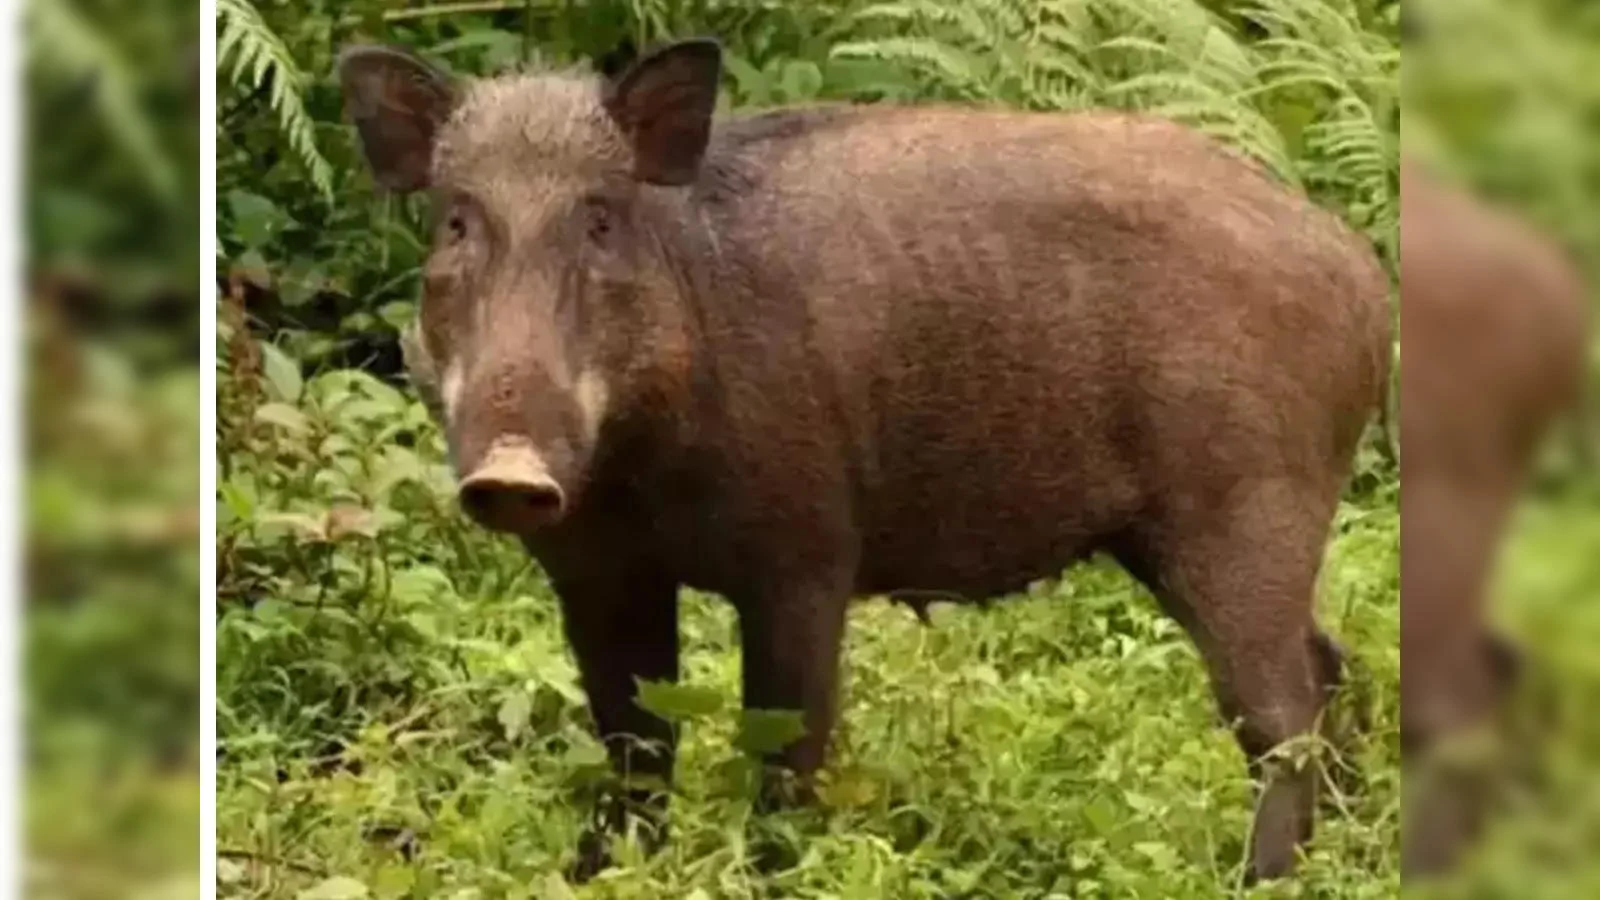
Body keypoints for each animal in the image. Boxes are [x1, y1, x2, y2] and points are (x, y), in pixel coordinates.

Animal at [337, 38, 1393, 883]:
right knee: (1326, 665)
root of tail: (1356, 269)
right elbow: (633, 742)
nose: (511, 470)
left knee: (1280, 711)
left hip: (1245, 508)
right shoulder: (596, 572)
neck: (644, 471)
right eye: (455, 222)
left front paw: (773, 873)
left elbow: (786, 742)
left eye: (599, 219)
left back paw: (1262, 878)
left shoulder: (807, 556)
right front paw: (600, 871)